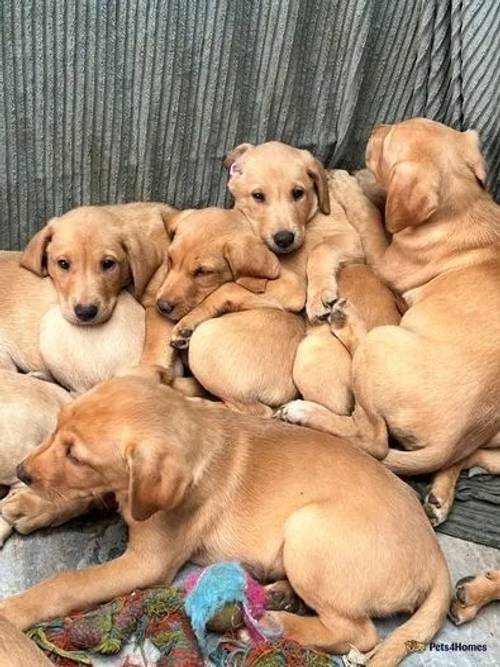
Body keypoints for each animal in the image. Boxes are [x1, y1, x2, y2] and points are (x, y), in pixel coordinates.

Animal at [0, 370, 452, 667]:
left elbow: (67, 583)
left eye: (77, 457)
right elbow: (85, 496)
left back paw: (270, 621)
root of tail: (436, 558)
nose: (21, 471)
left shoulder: (147, 561)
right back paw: (278, 597)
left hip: (308, 529)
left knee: (357, 633)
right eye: (56, 427)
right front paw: (32, 506)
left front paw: (14, 611)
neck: (196, 433)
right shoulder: (121, 493)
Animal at [278, 118, 500, 528]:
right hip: (488, 440)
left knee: (373, 437)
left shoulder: (384, 258)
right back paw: (442, 494)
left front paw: (349, 184)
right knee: (468, 457)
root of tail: (455, 434)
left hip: (380, 344)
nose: (376, 128)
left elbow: (370, 218)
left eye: (387, 144)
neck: (464, 207)